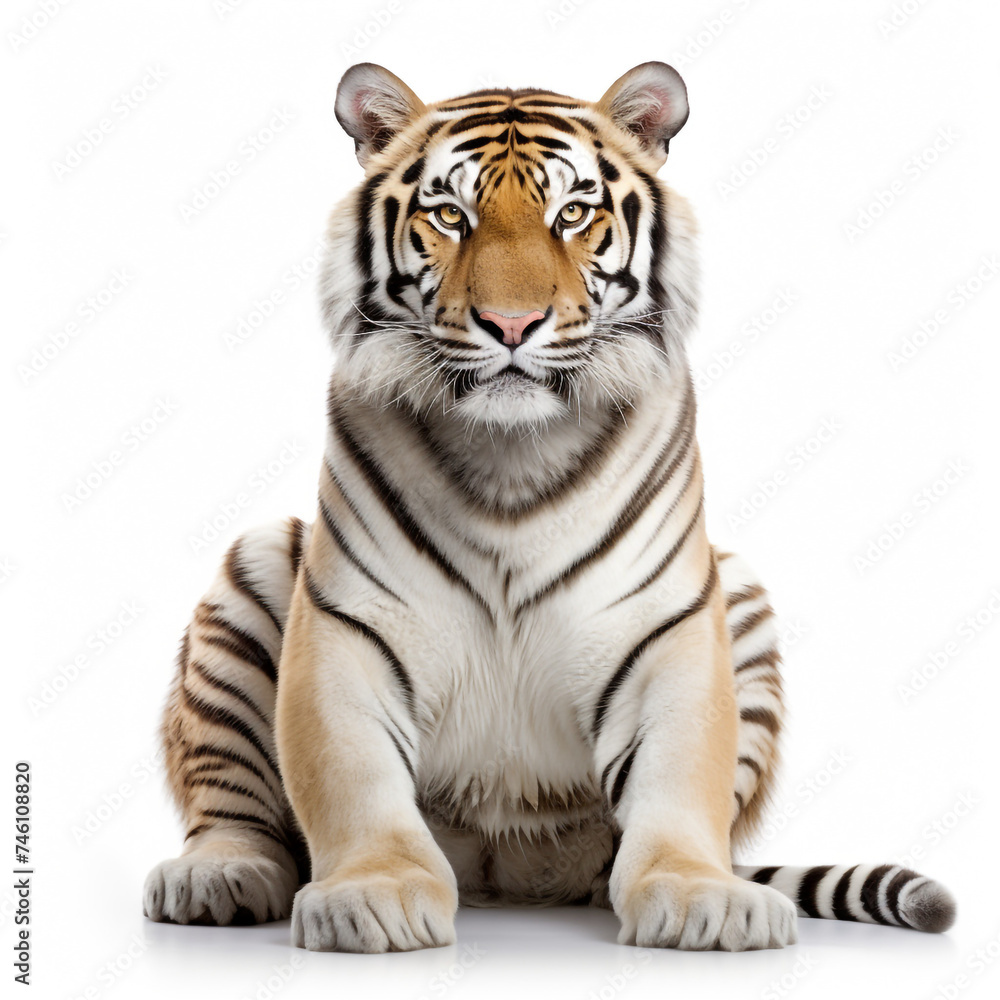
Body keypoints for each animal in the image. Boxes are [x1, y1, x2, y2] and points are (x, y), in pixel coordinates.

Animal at [143, 61, 956, 952]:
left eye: (572, 214)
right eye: (450, 216)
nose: (511, 323)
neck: (513, 456)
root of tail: (507, 876)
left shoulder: (667, 628)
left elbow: (682, 774)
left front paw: (703, 898)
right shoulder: (349, 626)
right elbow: (350, 775)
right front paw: (374, 895)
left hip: (739, 592)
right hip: (254, 567)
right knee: (232, 803)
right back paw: (218, 877)